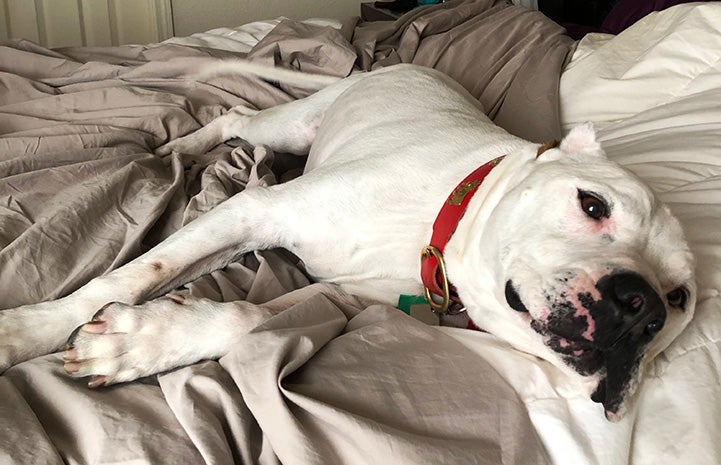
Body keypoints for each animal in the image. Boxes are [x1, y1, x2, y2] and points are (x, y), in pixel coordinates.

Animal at [1, 62, 696, 420]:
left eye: (680, 299)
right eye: (592, 204)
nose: (639, 307)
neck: (435, 238)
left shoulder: (338, 295)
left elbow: (244, 315)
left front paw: (139, 342)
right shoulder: (255, 209)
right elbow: (134, 273)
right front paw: (29, 331)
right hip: (289, 128)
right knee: (234, 119)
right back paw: (181, 147)